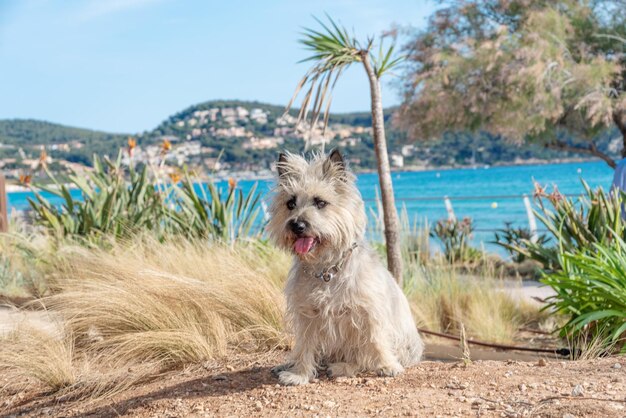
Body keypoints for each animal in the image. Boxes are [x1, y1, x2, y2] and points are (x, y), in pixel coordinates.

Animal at [266, 149, 422, 386]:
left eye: (320, 202)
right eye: (290, 203)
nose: (296, 225)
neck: (326, 270)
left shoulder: (368, 312)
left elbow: (375, 340)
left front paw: (387, 365)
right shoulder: (307, 315)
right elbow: (305, 346)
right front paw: (299, 373)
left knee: (362, 357)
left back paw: (343, 366)